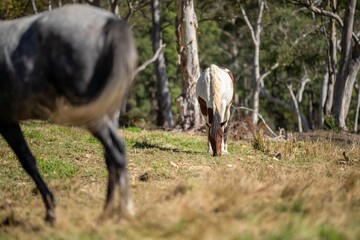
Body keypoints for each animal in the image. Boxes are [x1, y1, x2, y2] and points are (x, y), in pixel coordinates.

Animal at [0, 4, 138, 223]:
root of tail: (110, 22)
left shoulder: (5, 120)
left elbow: (27, 162)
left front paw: (50, 211)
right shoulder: (8, 120)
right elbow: (28, 160)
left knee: (116, 150)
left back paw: (124, 209)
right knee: (111, 156)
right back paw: (107, 210)